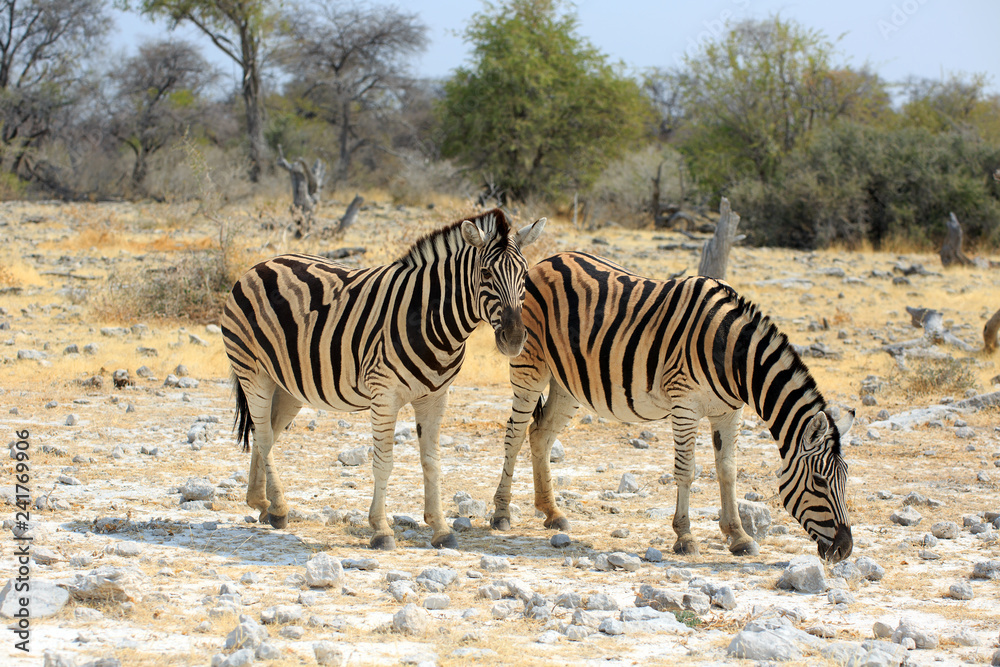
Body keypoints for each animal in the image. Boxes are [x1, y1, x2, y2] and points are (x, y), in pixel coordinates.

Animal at [222, 209, 545, 550]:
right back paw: (279, 509)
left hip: (289, 385)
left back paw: (261, 503)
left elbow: (432, 461)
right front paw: (380, 529)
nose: (514, 338)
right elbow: (384, 462)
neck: (429, 318)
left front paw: (441, 528)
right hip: (253, 372)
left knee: (266, 432)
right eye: (485, 274)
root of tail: (260, 265)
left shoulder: (436, 397)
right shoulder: (384, 394)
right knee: (264, 436)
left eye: (525, 276)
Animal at [491, 251, 854, 562]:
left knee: (540, 435)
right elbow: (686, 470)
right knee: (515, 435)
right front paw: (685, 537)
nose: (844, 550)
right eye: (819, 482)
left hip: (568, 382)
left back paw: (552, 513)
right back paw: (501, 514)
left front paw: (738, 536)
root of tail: (546, 261)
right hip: (529, 366)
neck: (733, 356)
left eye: (846, 479)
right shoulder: (685, 404)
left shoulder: (729, 411)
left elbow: (727, 470)